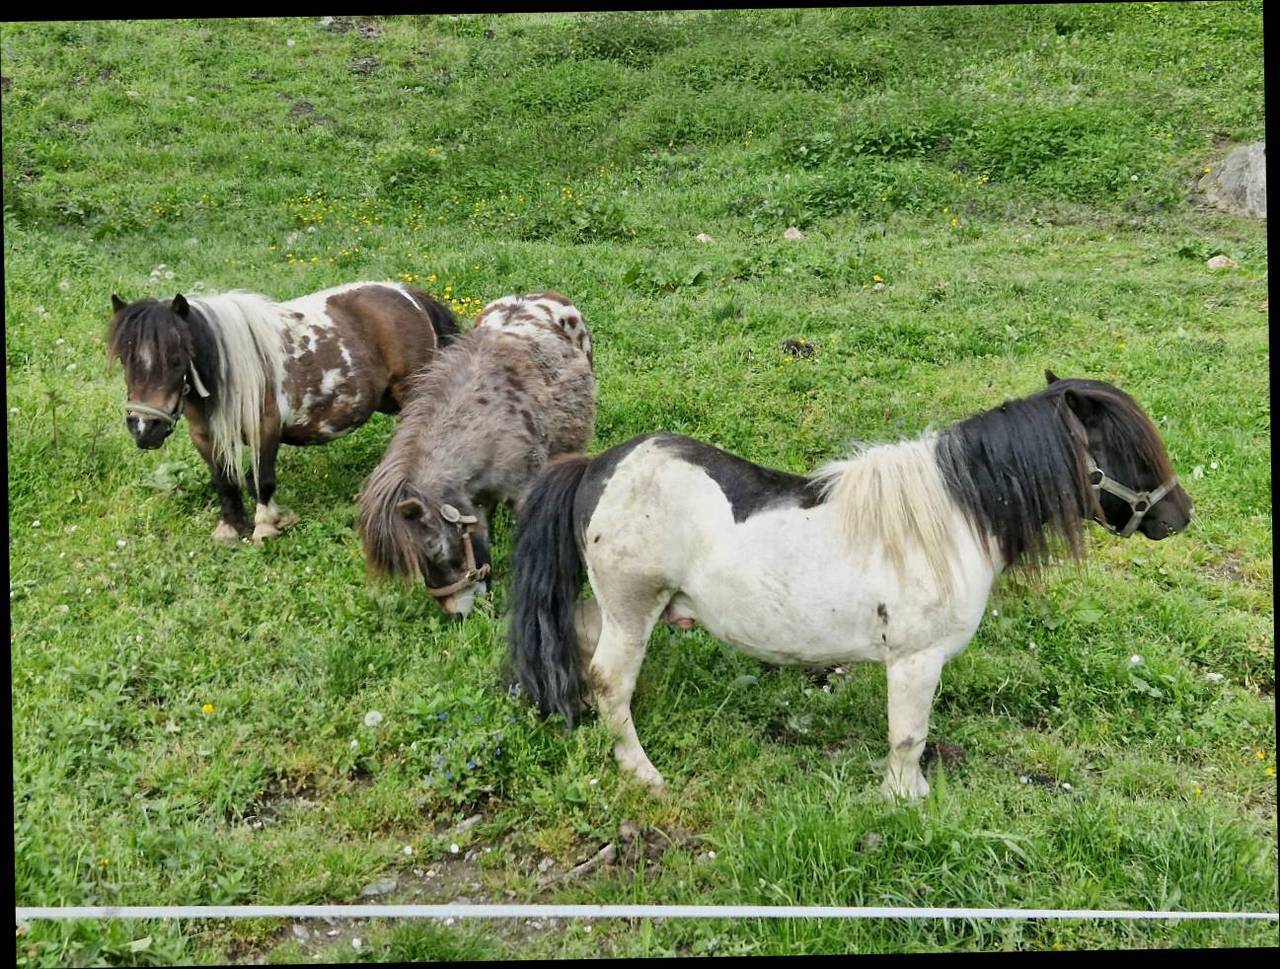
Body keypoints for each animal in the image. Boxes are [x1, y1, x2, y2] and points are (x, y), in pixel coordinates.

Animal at [108, 280, 460, 545]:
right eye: (125, 359)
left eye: (177, 358)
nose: (144, 427)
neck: (229, 367)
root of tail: (408, 295)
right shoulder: (205, 436)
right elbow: (223, 481)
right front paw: (231, 528)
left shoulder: (266, 428)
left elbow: (263, 480)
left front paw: (266, 525)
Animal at [504, 371, 1192, 803]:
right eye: (1128, 450)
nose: (1180, 516)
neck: (953, 517)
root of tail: (593, 467)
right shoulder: (915, 661)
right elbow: (908, 736)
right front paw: (904, 799)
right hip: (631, 608)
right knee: (609, 679)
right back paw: (642, 772)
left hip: (611, 610)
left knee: (588, 656)